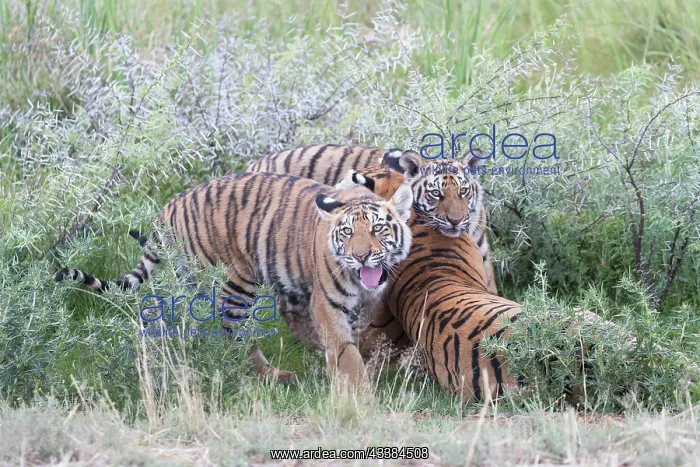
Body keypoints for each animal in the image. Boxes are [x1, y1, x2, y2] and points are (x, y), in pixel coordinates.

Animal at [54, 172, 414, 389]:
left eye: (378, 229)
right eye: (348, 232)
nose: (361, 256)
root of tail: (168, 207)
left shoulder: (365, 305)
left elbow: (355, 341)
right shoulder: (327, 303)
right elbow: (345, 351)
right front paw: (359, 391)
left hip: (191, 281)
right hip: (236, 282)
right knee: (234, 333)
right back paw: (273, 375)